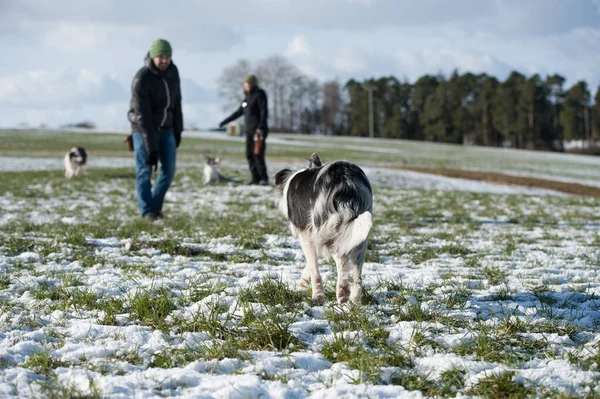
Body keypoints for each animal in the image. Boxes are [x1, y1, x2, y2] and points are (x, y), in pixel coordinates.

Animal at [276, 153, 370, 306]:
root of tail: (346, 182)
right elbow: (310, 264)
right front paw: (302, 284)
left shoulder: (306, 234)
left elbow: (313, 266)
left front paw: (311, 291)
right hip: (359, 235)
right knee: (357, 273)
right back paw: (353, 299)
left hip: (327, 228)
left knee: (340, 261)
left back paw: (336, 293)